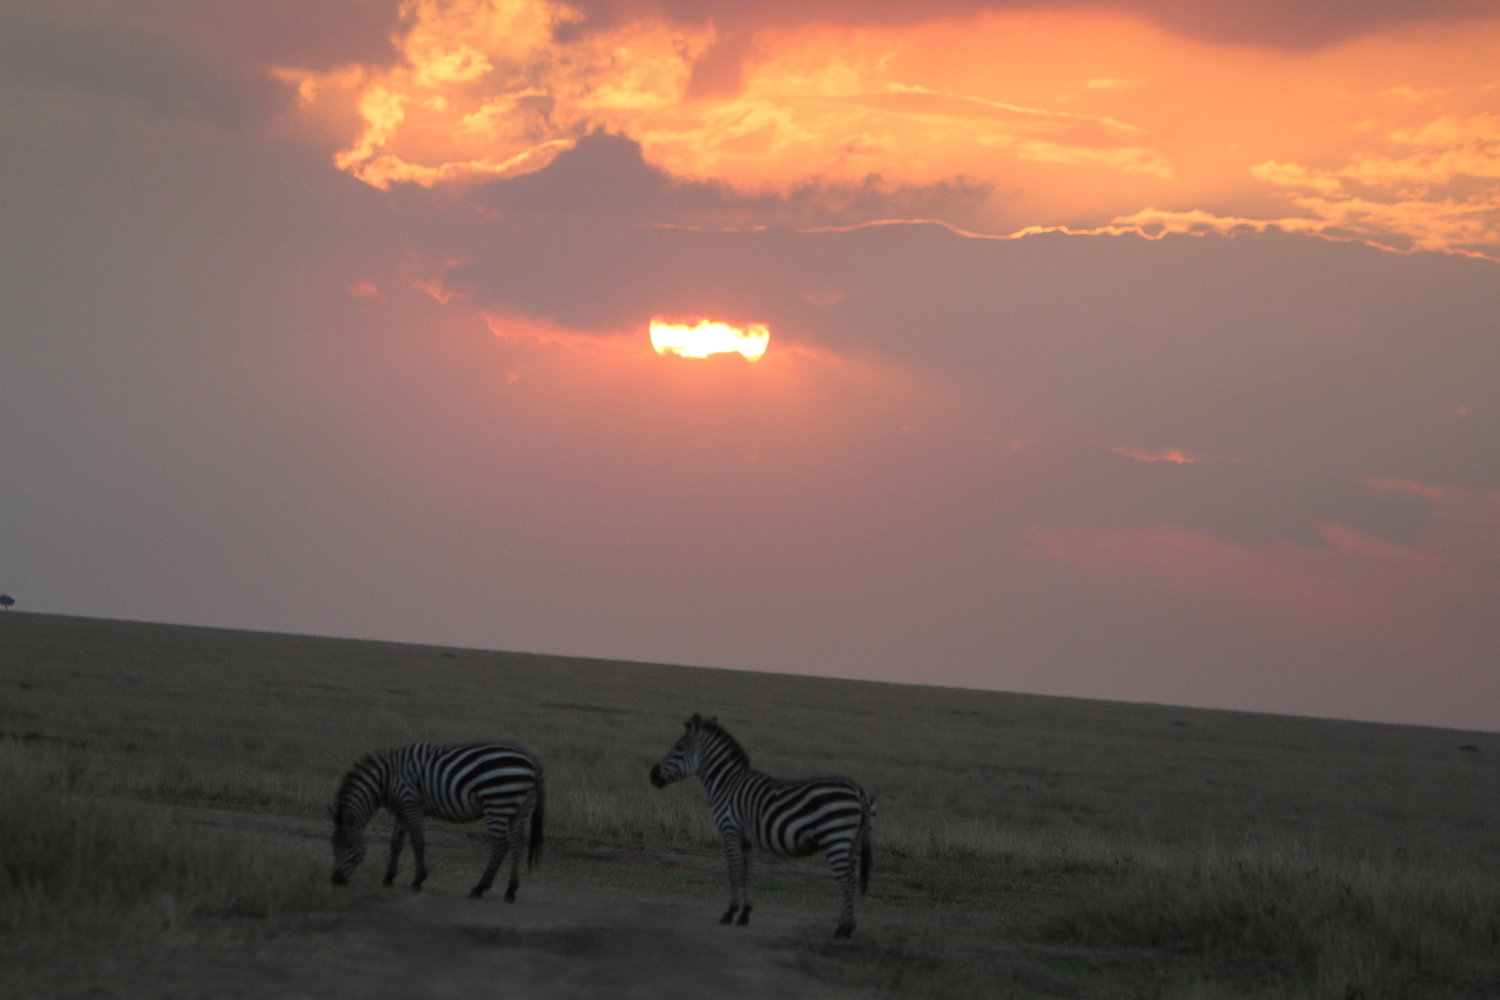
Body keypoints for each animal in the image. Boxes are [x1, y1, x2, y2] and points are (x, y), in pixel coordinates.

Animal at [329, 742, 544, 901]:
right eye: (332, 845)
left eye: (349, 846)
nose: (335, 880)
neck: (387, 780)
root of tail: (532, 761)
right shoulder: (401, 810)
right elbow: (395, 843)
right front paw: (388, 878)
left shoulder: (411, 804)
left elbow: (417, 842)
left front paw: (417, 881)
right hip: (519, 810)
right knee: (517, 845)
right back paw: (511, 890)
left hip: (497, 802)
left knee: (501, 845)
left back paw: (479, 888)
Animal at [649, 713, 874, 938]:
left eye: (678, 748)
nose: (652, 775)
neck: (727, 784)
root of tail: (859, 792)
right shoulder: (746, 838)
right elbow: (747, 874)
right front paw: (744, 915)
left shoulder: (730, 831)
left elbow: (733, 871)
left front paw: (729, 913)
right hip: (851, 843)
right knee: (850, 880)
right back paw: (844, 927)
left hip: (835, 837)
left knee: (848, 882)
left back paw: (845, 929)